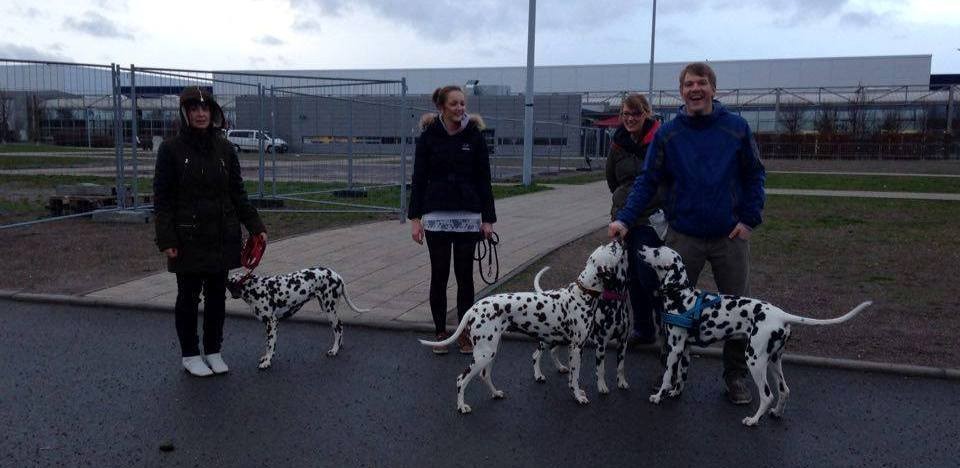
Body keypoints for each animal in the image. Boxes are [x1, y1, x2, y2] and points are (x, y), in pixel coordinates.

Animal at [227, 266, 370, 368]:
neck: (255, 288)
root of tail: (337, 275)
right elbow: (269, 345)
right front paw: (266, 357)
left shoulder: (272, 323)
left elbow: (270, 344)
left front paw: (267, 361)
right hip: (327, 308)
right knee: (340, 328)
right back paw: (339, 345)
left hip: (330, 310)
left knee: (338, 328)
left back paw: (334, 350)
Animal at [528, 266, 632, 394]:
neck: (615, 306)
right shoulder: (601, 345)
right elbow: (601, 369)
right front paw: (602, 386)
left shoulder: (623, 342)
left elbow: (621, 367)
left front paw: (622, 382)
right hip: (546, 340)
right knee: (536, 355)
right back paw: (538, 375)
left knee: (553, 351)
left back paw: (560, 367)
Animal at [636, 247, 872, 426]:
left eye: (656, 251)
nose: (641, 248)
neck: (682, 297)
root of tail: (781, 314)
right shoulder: (684, 349)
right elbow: (681, 376)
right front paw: (675, 393)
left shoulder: (674, 348)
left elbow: (668, 374)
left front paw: (658, 396)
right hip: (774, 361)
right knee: (784, 390)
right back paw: (776, 413)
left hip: (755, 361)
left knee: (767, 395)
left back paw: (753, 420)